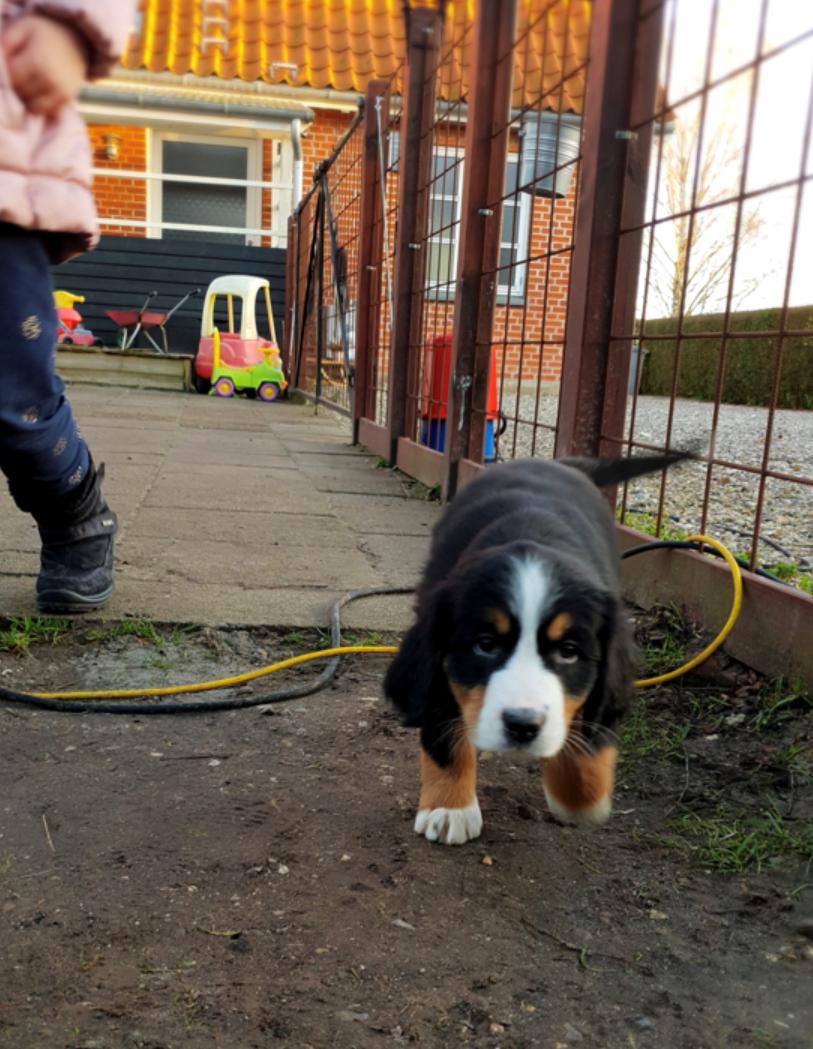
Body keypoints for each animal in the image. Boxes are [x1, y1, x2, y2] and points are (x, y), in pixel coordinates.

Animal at [386, 451, 688, 843]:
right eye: (485, 645)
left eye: (568, 651)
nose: (522, 726)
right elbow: (442, 721)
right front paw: (450, 807)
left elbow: (589, 722)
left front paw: (580, 796)